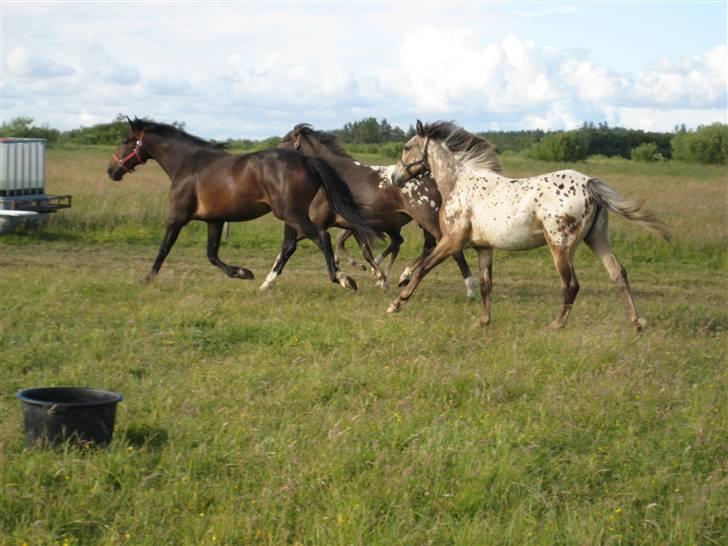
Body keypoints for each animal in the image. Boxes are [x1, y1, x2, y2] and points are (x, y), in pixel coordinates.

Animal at [108, 117, 376, 292]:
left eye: (126, 139)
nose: (111, 170)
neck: (186, 165)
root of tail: (306, 160)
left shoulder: (178, 217)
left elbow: (164, 248)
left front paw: (147, 278)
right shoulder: (214, 220)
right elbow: (212, 255)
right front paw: (243, 273)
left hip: (291, 214)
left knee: (322, 237)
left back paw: (343, 279)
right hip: (292, 216)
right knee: (292, 245)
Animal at [384, 120, 672, 330]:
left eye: (407, 146)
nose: (395, 177)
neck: (458, 183)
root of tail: (589, 183)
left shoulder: (452, 241)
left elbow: (423, 267)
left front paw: (396, 301)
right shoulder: (483, 248)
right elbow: (486, 284)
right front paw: (484, 321)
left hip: (560, 246)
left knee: (571, 284)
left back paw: (556, 325)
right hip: (597, 238)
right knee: (618, 274)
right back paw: (636, 322)